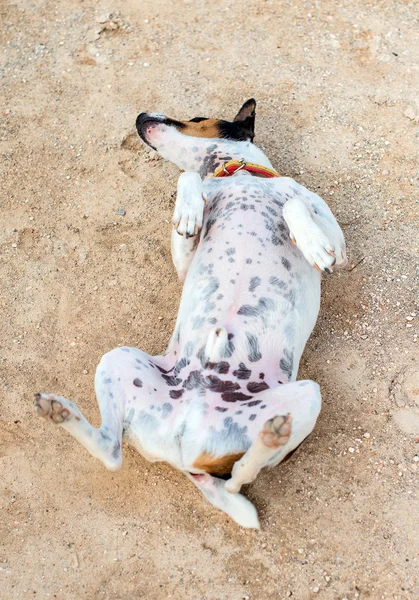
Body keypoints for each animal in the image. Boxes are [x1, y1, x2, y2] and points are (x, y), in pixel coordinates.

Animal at [33, 101, 348, 528]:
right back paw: (60, 412)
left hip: (308, 394)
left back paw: (272, 435)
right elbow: (188, 179)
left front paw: (312, 243)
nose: (140, 116)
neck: (240, 176)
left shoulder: (340, 244)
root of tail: (187, 455)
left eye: (197, 118)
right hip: (118, 358)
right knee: (114, 452)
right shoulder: (184, 261)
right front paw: (187, 210)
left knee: (238, 477)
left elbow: (294, 204)